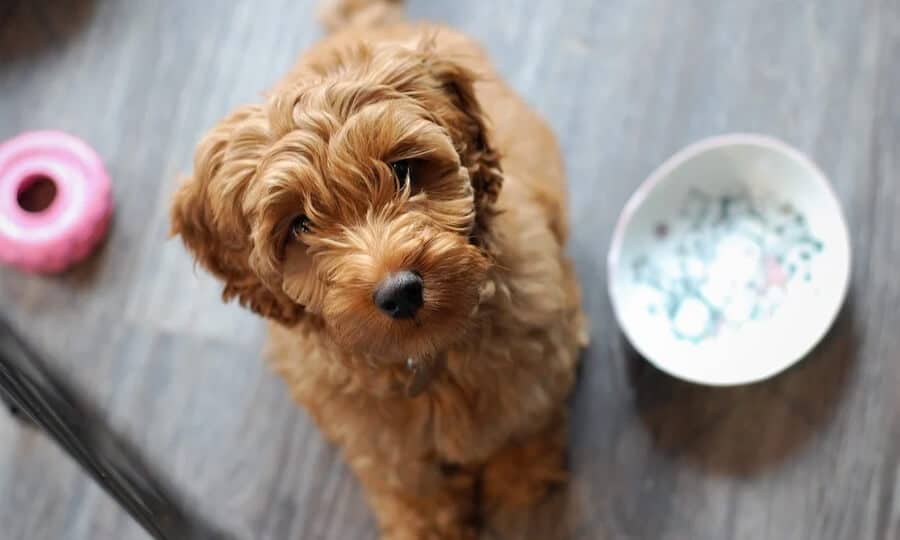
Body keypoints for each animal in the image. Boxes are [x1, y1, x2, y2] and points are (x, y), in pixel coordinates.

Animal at [171, 2, 588, 536]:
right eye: (299, 225)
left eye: (403, 169)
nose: (400, 291)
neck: (428, 359)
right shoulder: (370, 432)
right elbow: (406, 477)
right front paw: (428, 525)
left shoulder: (535, 357)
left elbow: (524, 420)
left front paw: (521, 478)